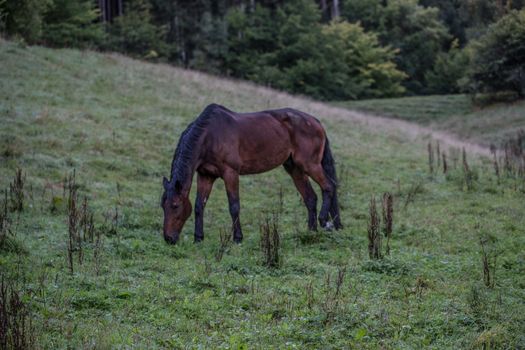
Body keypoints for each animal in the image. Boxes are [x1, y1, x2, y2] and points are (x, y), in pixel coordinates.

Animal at [161, 103, 340, 243]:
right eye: (163, 206)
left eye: (175, 205)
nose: (168, 238)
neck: (210, 136)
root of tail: (316, 122)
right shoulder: (206, 175)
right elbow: (199, 205)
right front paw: (198, 238)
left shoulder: (231, 173)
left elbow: (234, 206)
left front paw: (238, 238)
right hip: (295, 168)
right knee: (310, 198)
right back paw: (311, 231)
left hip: (310, 164)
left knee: (329, 186)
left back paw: (324, 222)